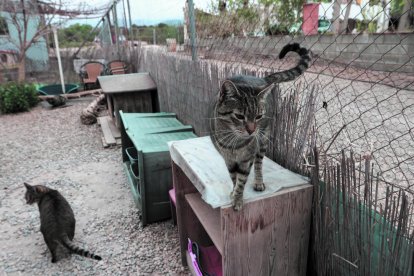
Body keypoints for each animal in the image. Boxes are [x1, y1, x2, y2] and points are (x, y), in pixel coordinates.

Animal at [210, 42, 310, 211]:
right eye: (239, 116)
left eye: (258, 116)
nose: (251, 130)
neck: (234, 143)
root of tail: (261, 79)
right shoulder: (228, 160)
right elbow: (233, 177)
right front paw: (233, 192)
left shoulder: (246, 159)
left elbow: (241, 180)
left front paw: (238, 198)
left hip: (263, 140)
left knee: (259, 163)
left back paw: (258, 181)